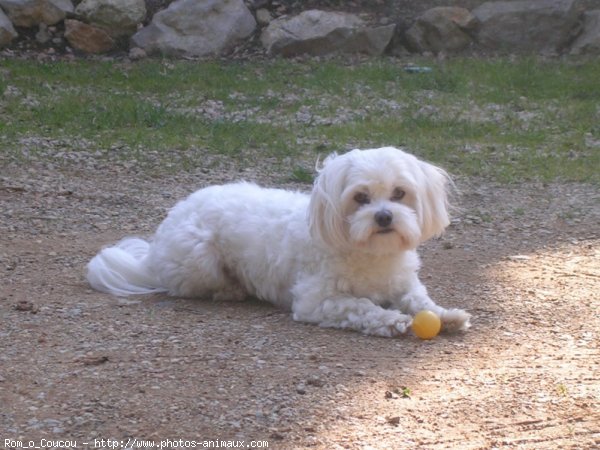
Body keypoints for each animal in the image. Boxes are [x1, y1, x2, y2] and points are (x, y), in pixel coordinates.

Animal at [86, 148, 472, 338]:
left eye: (399, 193)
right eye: (360, 197)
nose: (384, 217)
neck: (370, 254)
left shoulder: (405, 284)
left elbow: (421, 302)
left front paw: (445, 315)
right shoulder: (316, 301)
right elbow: (360, 306)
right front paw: (389, 320)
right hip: (200, 258)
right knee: (187, 286)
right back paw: (231, 289)